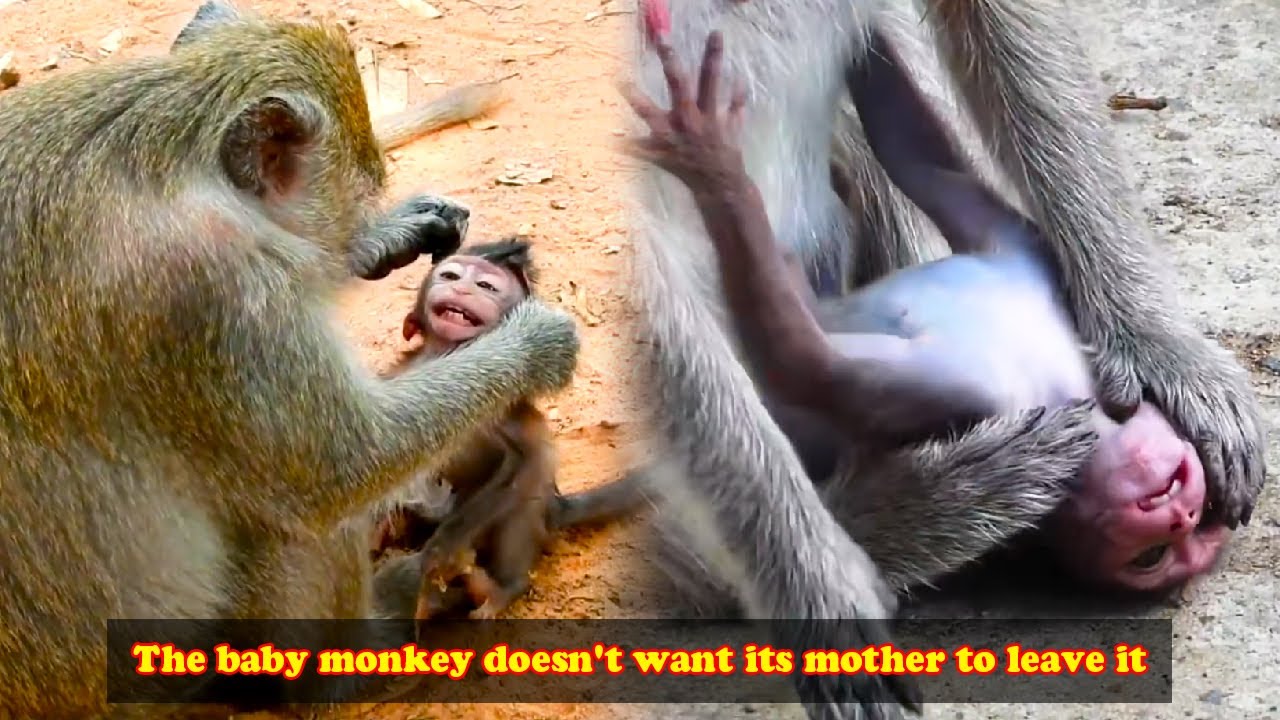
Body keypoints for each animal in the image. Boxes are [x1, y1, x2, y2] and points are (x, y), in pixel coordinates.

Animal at [0, 2, 580, 716]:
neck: (165, 147)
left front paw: (392, 235)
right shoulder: (219, 289)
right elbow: (345, 465)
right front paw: (534, 345)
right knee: (292, 510)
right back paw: (352, 665)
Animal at [366, 239, 649, 621]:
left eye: (486, 286)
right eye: (450, 275)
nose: (462, 288)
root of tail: (557, 508)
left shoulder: (506, 404)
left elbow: (524, 461)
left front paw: (440, 550)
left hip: (531, 518)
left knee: (520, 506)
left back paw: (498, 589)